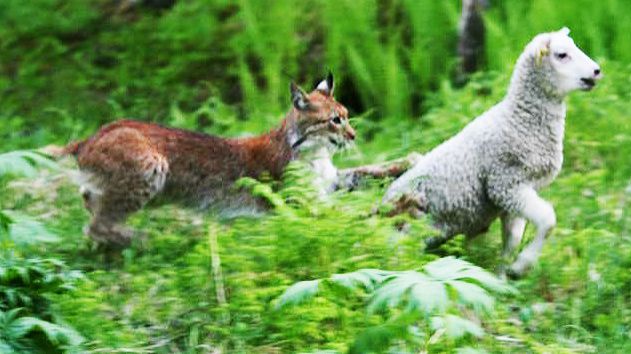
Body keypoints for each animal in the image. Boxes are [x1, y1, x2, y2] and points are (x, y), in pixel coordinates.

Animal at [382, 27, 604, 276]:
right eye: (561, 54)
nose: (596, 71)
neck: (520, 119)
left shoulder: (513, 195)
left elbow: (513, 239)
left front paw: (503, 275)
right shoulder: (505, 182)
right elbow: (548, 220)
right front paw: (522, 266)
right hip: (407, 230)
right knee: (396, 259)